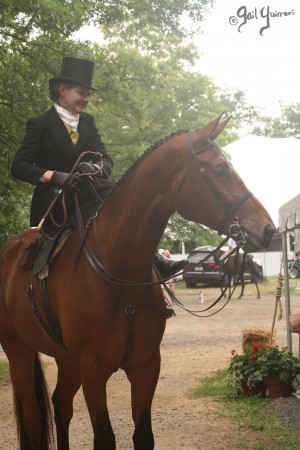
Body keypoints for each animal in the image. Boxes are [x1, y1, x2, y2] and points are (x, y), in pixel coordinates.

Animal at [0, 114, 276, 448]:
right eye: (221, 170)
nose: (267, 229)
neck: (119, 275)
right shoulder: (93, 369)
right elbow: (104, 437)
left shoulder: (145, 366)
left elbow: (143, 434)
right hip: (19, 353)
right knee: (33, 416)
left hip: (66, 360)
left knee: (61, 405)